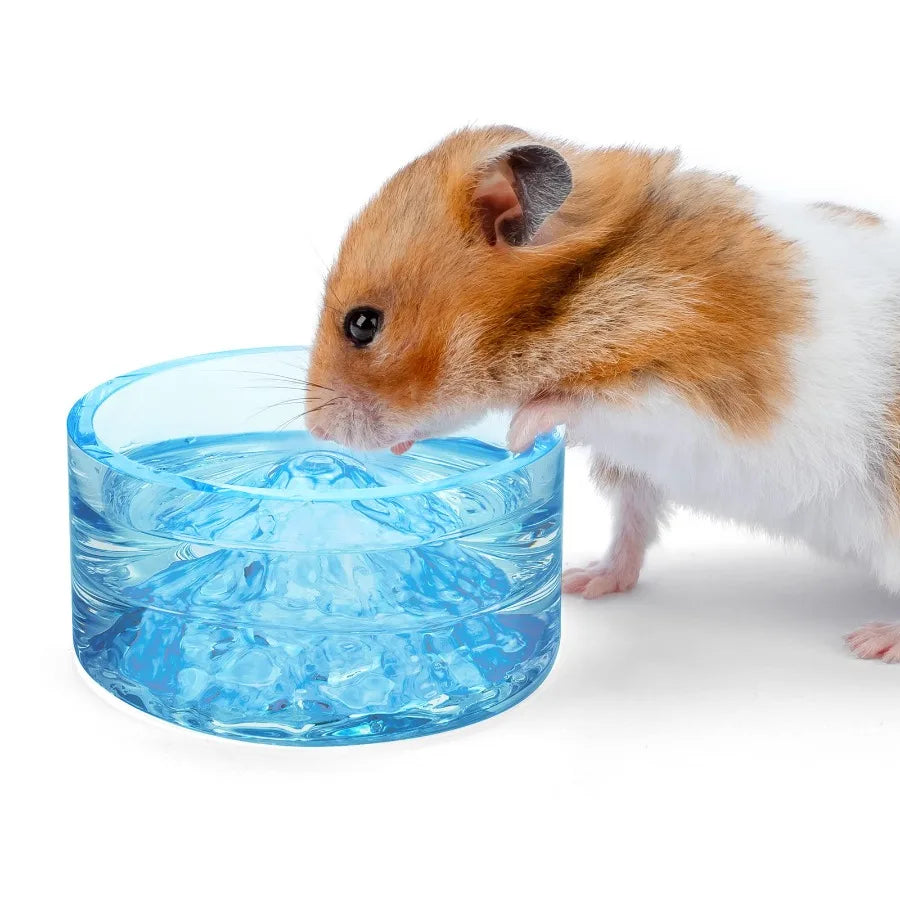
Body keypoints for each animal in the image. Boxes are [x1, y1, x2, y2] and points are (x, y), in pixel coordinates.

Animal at [306, 125, 900, 663]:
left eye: (363, 324)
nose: (314, 431)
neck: (577, 289)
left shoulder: (691, 391)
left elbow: (582, 401)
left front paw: (517, 436)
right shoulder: (639, 463)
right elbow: (632, 518)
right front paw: (583, 578)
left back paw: (869, 643)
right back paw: (585, 580)